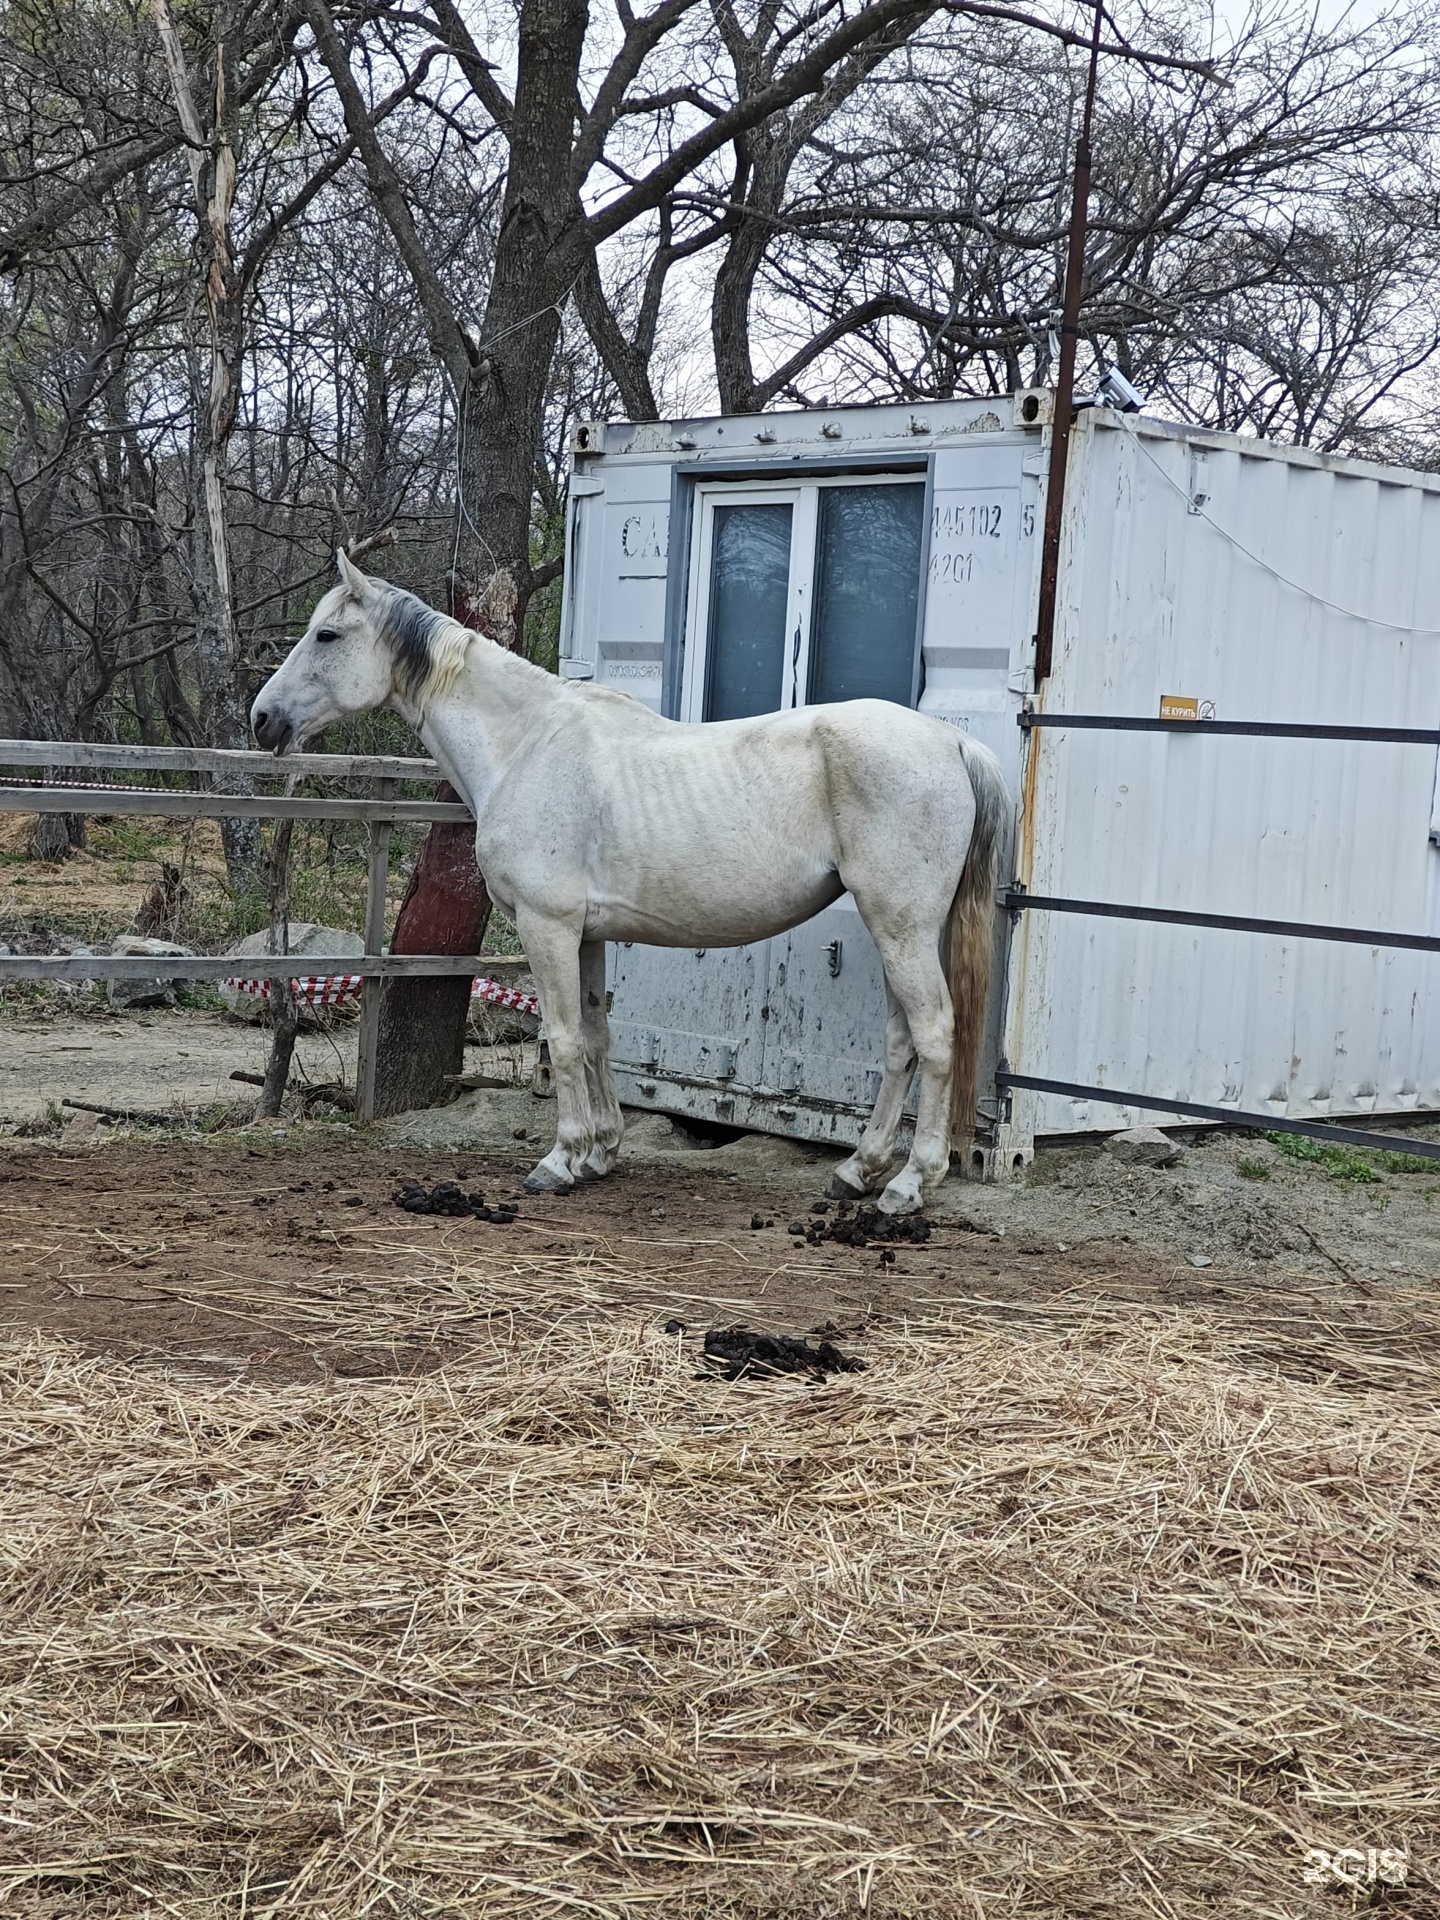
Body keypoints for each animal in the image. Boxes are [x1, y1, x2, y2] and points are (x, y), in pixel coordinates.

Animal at [253, 556, 1006, 1213]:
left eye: (327, 635)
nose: (263, 720)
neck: (527, 745)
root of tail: (951, 742)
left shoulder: (547, 926)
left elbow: (561, 1037)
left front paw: (560, 1160)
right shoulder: (586, 935)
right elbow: (595, 1032)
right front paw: (601, 1152)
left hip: (902, 930)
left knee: (934, 1035)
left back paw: (907, 1186)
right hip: (899, 932)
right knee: (901, 1042)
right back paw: (857, 1171)